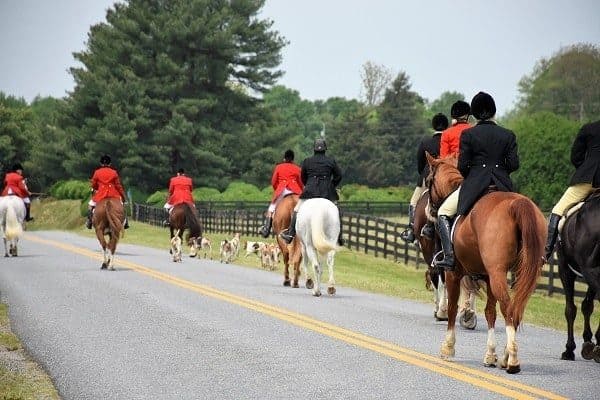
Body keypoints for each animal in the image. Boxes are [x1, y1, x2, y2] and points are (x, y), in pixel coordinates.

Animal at [424, 154, 548, 376]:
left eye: (429, 181)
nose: (430, 210)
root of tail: (517, 204)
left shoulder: (453, 273)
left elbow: (453, 308)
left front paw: (448, 347)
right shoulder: (488, 277)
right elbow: (490, 312)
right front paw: (490, 355)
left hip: (496, 273)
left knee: (508, 307)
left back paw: (513, 360)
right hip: (522, 273)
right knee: (516, 308)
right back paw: (507, 356)